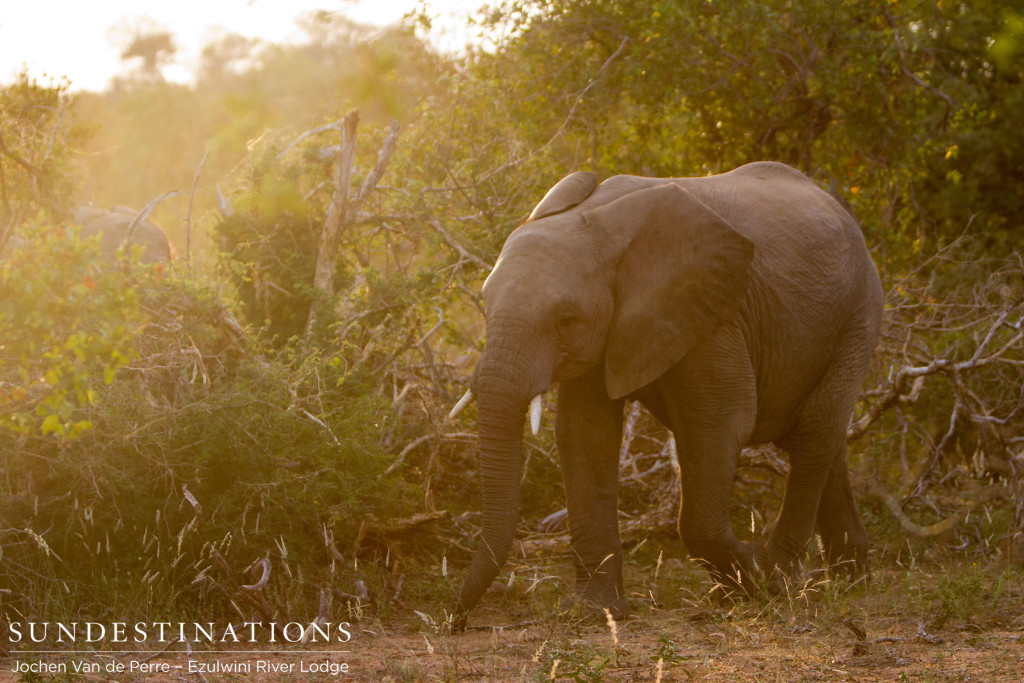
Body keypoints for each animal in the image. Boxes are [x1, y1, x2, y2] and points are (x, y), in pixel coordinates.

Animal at [452, 161, 884, 630]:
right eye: (485, 304)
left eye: (566, 320)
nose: (454, 619)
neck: (598, 220)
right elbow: (584, 434)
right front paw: (595, 612)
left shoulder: (714, 315)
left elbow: (721, 425)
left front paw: (747, 582)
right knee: (825, 439)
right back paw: (849, 578)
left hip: (859, 314)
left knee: (812, 435)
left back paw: (780, 580)